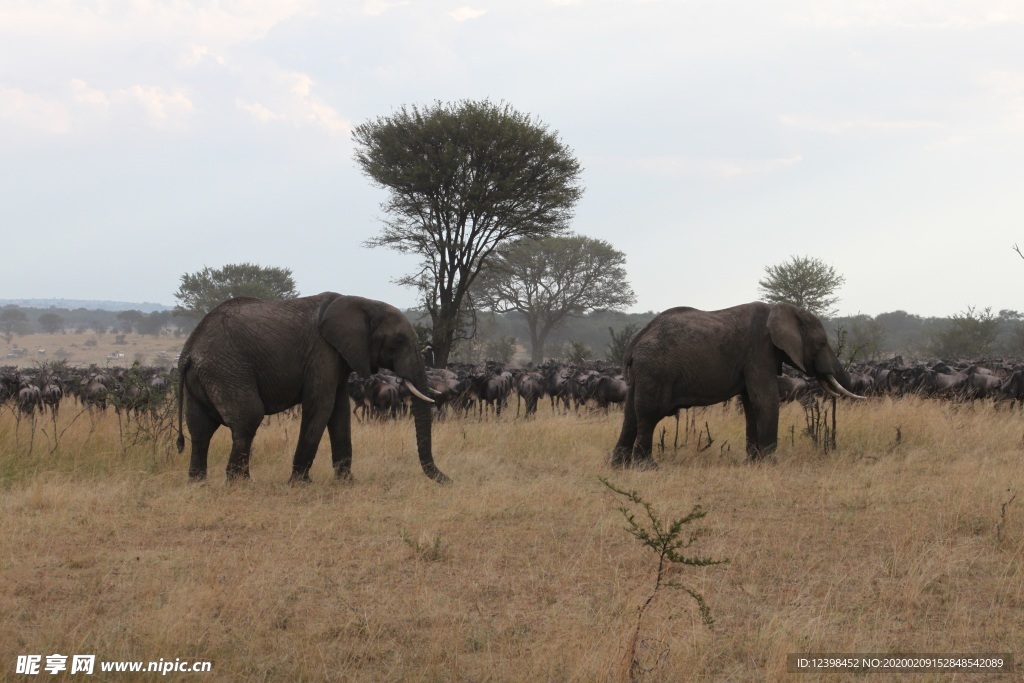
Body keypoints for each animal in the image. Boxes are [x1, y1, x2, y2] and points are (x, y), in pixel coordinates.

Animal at [176, 294, 448, 485]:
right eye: (398, 341)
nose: (448, 479)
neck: (362, 302)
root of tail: (189, 350)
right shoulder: (322, 353)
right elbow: (321, 407)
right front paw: (300, 483)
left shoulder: (338, 357)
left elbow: (339, 412)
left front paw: (347, 482)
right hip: (227, 369)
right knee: (247, 420)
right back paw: (241, 484)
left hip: (205, 376)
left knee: (200, 429)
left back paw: (198, 484)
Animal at [614, 301, 864, 466]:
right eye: (821, 343)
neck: (781, 308)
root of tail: (634, 344)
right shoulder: (759, 350)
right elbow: (764, 400)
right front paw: (770, 464)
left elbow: (752, 405)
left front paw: (753, 462)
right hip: (655, 372)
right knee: (648, 415)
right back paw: (647, 467)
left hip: (642, 375)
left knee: (631, 416)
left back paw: (619, 465)